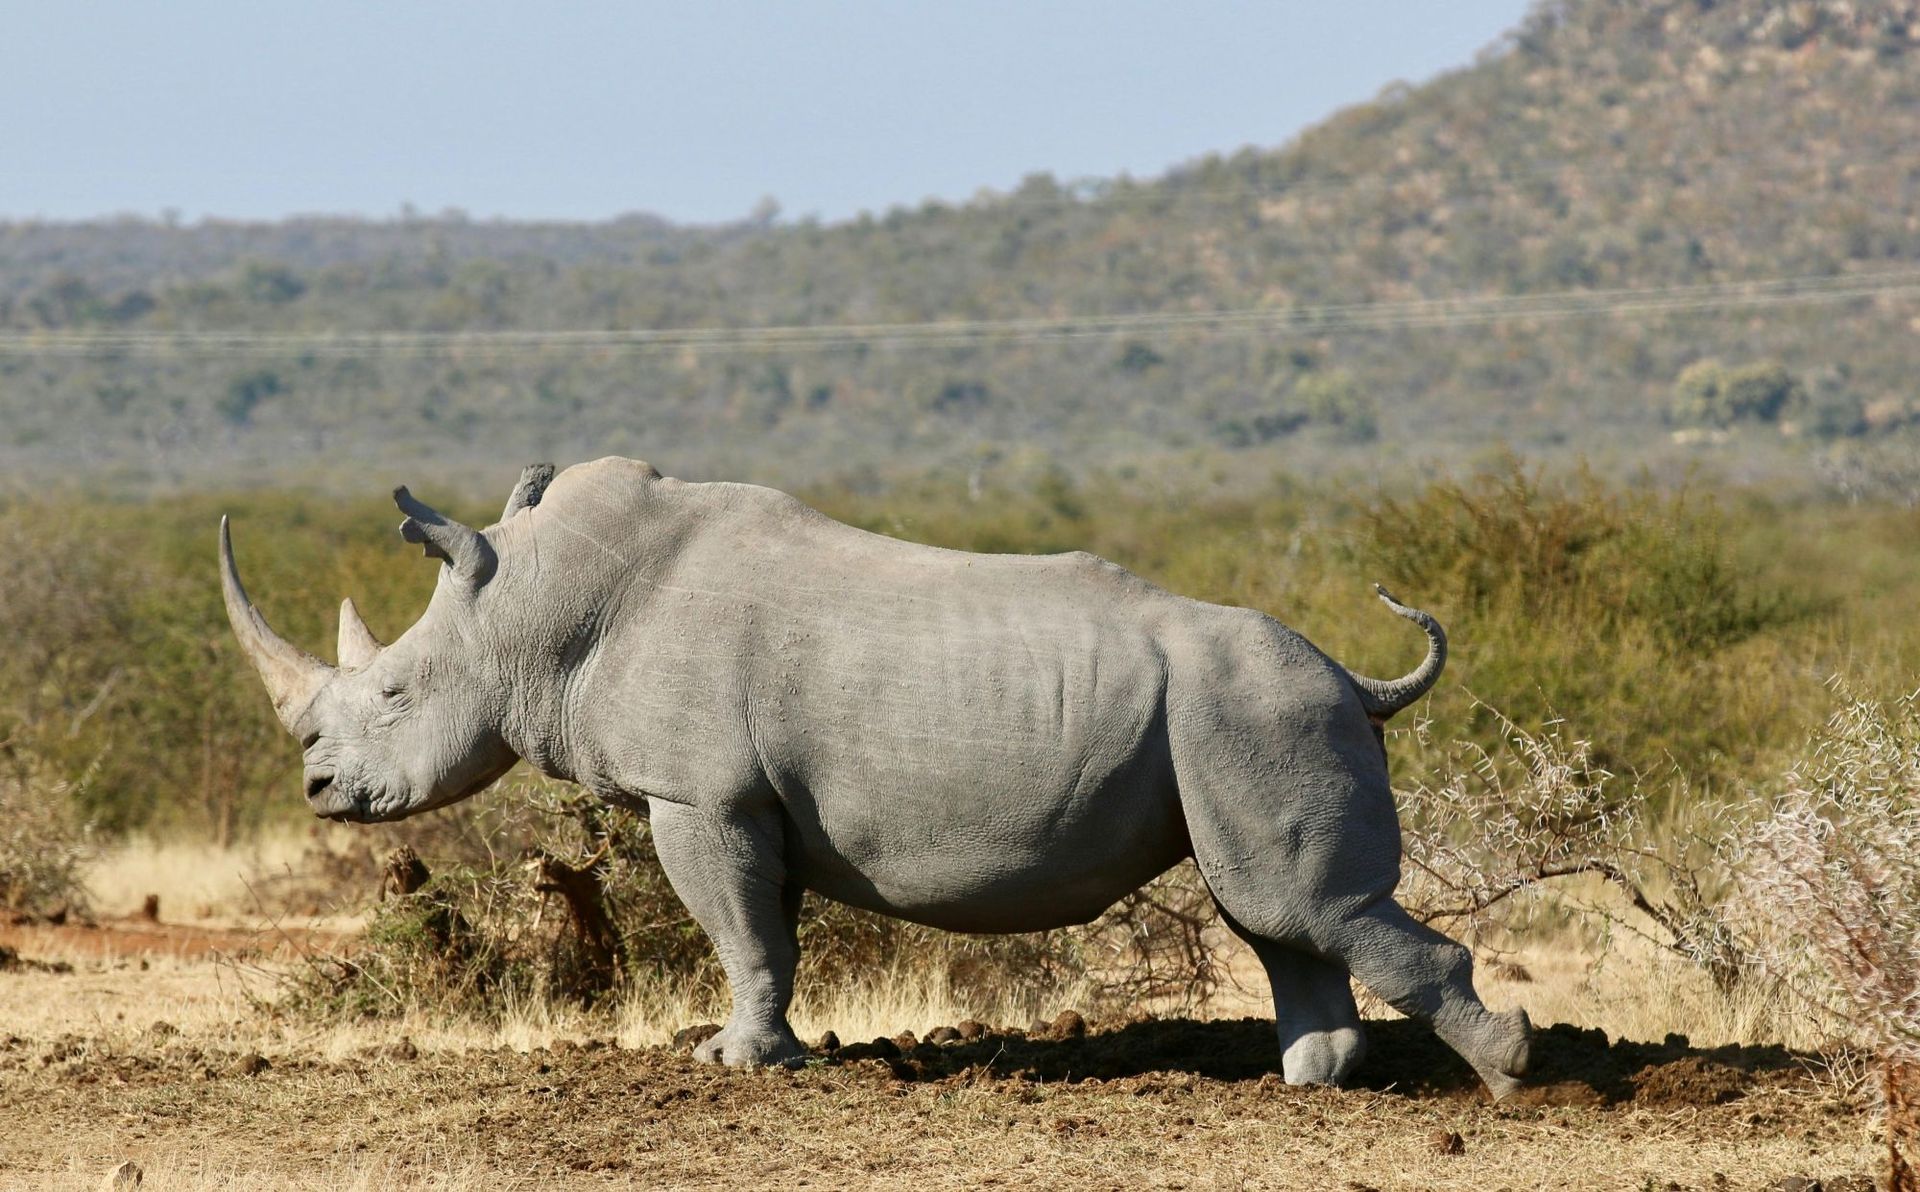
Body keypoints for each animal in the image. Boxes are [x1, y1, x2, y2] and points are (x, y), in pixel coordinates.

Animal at [219, 457, 1530, 1096]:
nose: (320, 794)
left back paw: (1506, 1076)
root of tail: (1357, 677)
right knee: (1276, 912)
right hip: (1240, 717)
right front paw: (767, 1049)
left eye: (395, 693)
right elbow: (769, 934)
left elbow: (736, 926)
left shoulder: (697, 794)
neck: (539, 607)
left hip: (1259, 708)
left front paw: (733, 1066)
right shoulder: (752, 802)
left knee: (1304, 905)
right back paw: (1309, 1085)